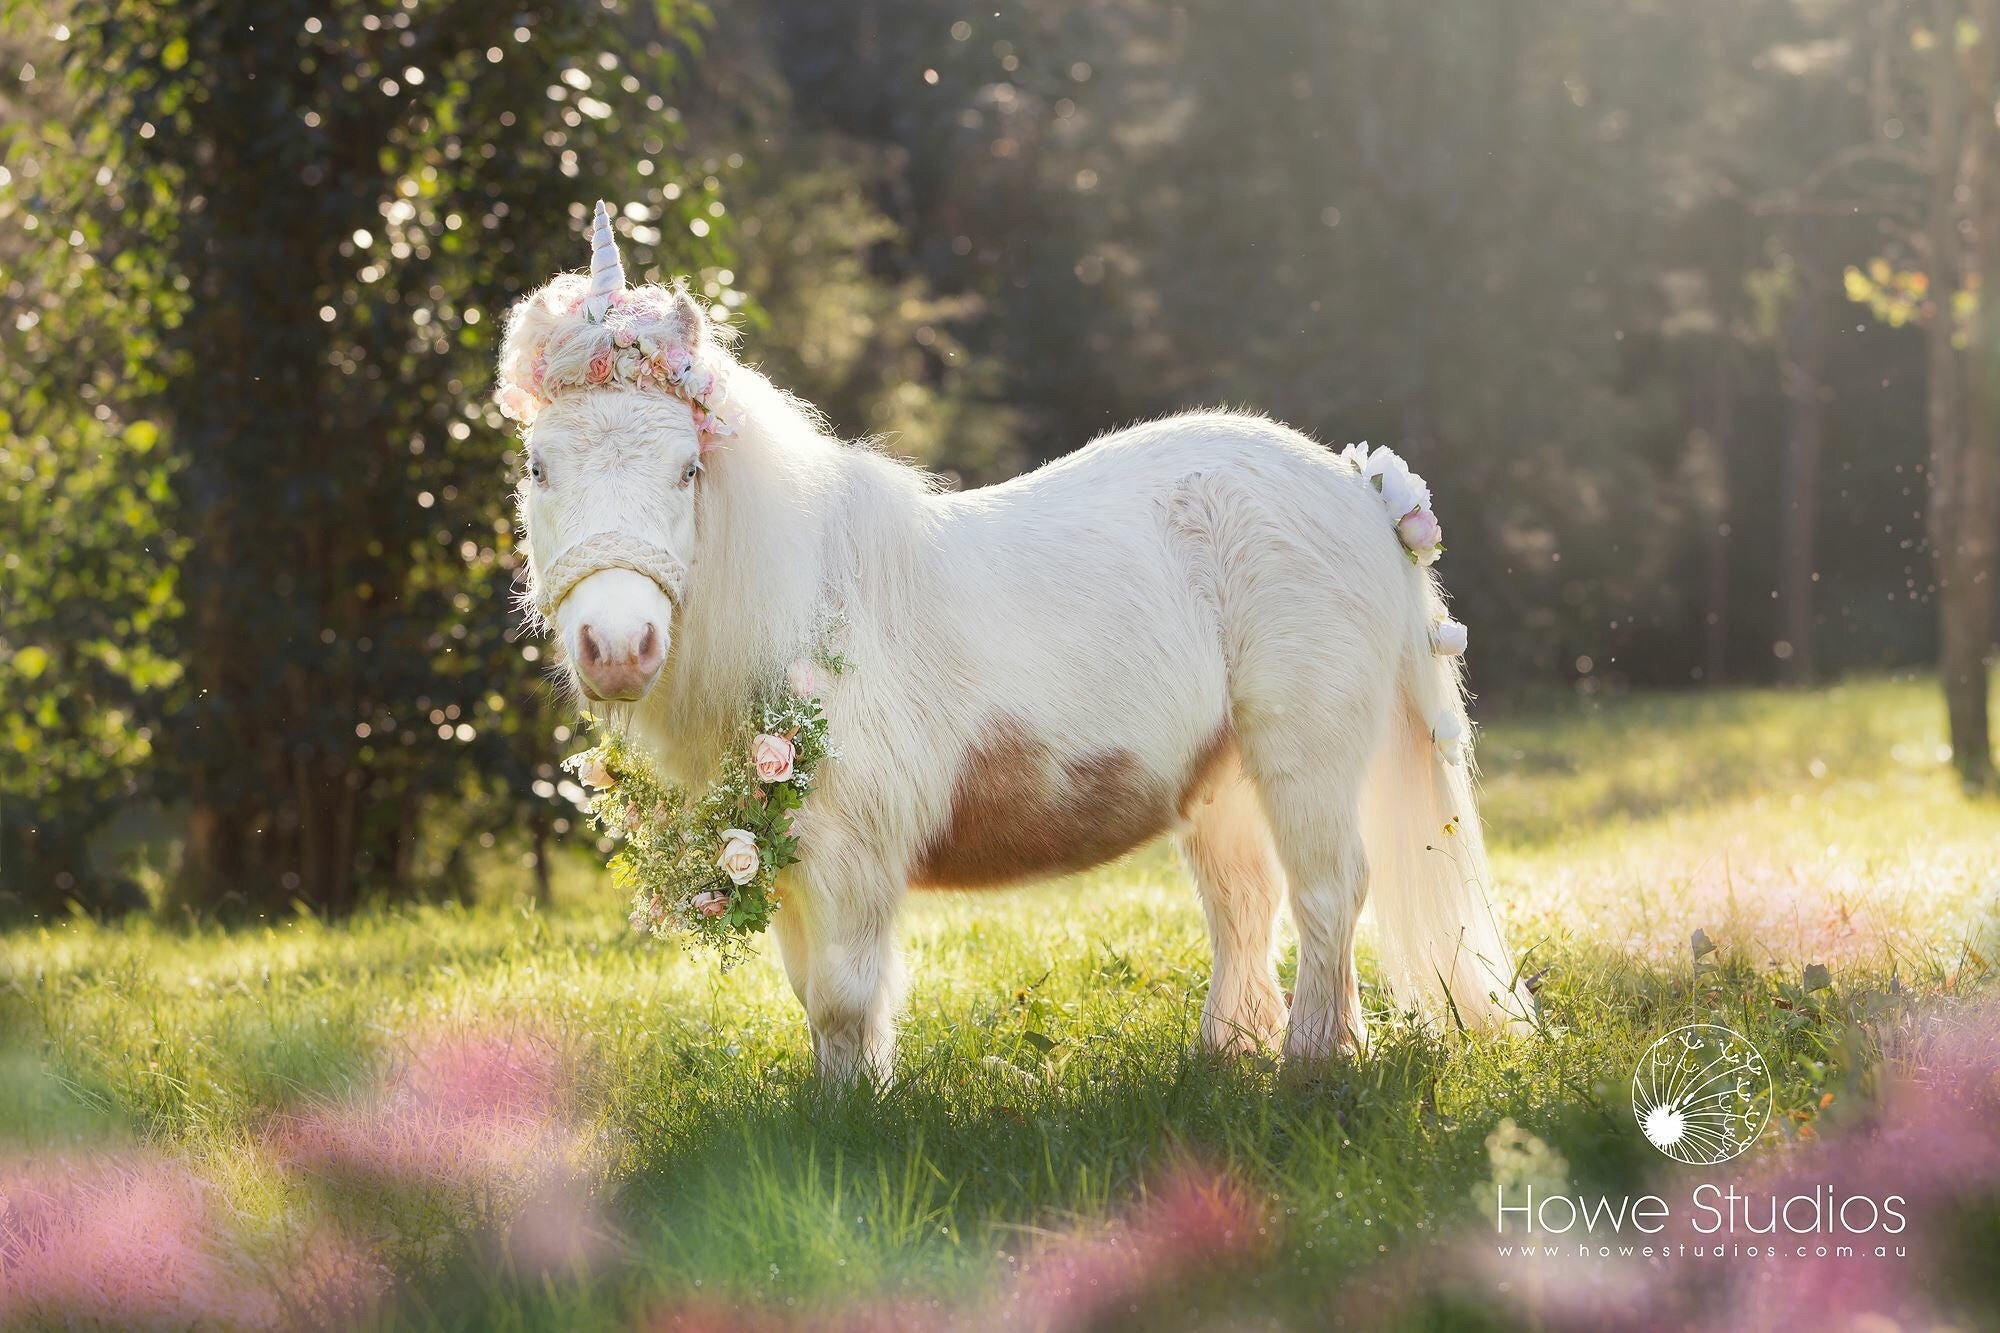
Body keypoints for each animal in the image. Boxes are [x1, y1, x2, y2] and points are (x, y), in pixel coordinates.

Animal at [494, 203, 1526, 1084]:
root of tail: (1361, 489)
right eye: (539, 466)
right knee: (1245, 907)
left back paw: (1312, 1066)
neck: (812, 599)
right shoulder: (780, 850)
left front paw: (852, 1119)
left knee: (1327, 895)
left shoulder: (849, 850)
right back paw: (1230, 1056)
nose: (617, 644)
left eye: (687, 468)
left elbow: (845, 997)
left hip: (1303, 754)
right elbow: (810, 992)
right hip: (1223, 780)